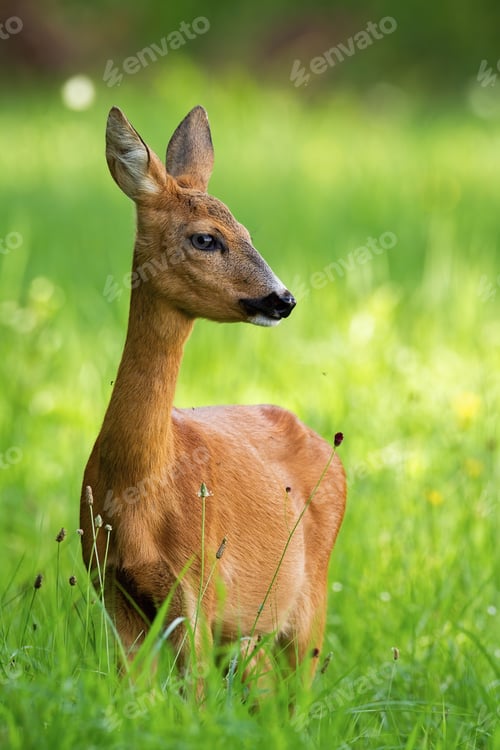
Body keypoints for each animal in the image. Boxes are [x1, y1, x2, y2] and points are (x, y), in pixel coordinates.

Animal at [80, 105, 346, 690]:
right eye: (206, 239)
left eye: (245, 229)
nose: (283, 298)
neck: (143, 489)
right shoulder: (111, 587)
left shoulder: (197, 585)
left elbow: (196, 695)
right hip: (247, 629)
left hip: (311, 594)